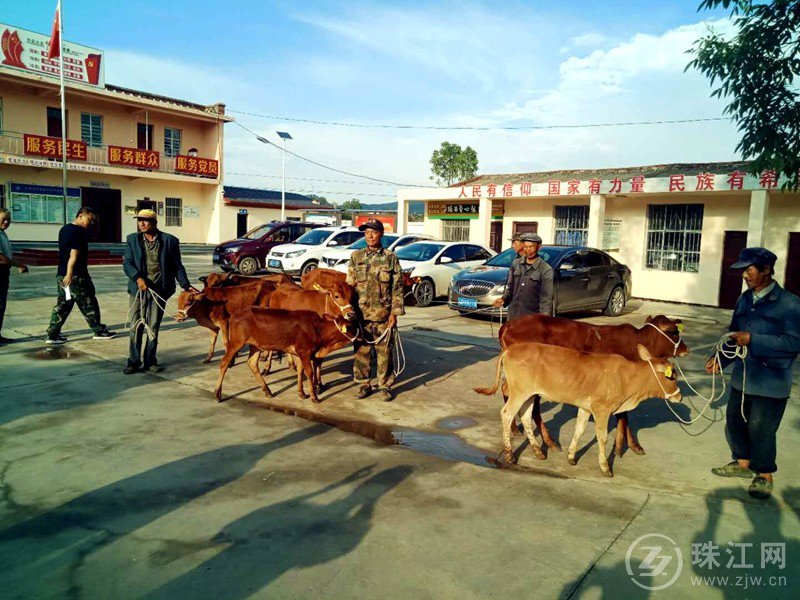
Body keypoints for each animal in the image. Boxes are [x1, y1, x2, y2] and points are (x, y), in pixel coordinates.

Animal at [216, 310, 360, 404]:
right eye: (350, 326)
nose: (362, 335)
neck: (317, 328)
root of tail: (234, 315)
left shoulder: (299, 353)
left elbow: (300, 371)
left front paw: (302, 393)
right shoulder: (304, 352)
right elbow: (309, 372)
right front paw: (314, 397)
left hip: (255, 346)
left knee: (252, 363)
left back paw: (267, 390)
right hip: (236, 343)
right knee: (224, 363)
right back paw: (217, 394)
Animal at [476, 342, 680, 478]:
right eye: (672, 376)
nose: (679, 396)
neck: (627, 378)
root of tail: (511, 348)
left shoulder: (585, 407)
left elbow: (579, 430)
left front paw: (571, 456)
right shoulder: (601, 410)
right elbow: (602, 438)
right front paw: (605, 467)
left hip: (529, 395)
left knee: (525, 416)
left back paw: (538, 451)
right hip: (519, 392)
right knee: (507, 414)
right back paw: (510, 455)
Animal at [496, 314, 684, 454]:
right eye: (674, 331)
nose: (686, 348)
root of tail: (508, 325)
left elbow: (622, 415)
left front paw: (628, 444)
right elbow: (624, 416)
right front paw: (626, 446)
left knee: (509, 393)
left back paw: (517, 429)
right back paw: (548, 441)